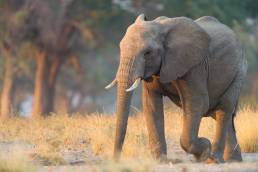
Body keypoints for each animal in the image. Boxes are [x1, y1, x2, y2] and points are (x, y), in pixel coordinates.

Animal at [106, 14, 247, 163]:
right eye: (120, 48)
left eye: (147, 53)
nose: (115, 160)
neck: (160, 27)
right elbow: (151, 104)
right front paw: (161, 160)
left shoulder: (194, 66)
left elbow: (198, 103)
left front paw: (204, 149)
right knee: (219, 113)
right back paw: (233, 160)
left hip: (239, 71)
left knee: (223, 108)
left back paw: (214, 159)